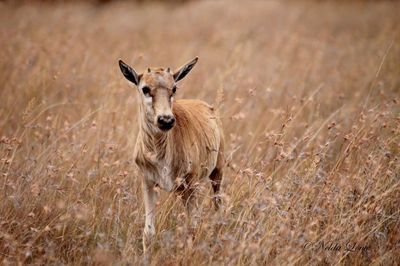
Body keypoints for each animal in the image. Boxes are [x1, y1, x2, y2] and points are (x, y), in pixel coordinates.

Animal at [119, 57, 225, 252]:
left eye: (174, 87)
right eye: (145, 88)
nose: (166, 120)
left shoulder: (190, 184)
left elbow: (192, 228)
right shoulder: (148, 183)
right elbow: (148, 232)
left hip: (216, 174)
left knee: (217, 205)